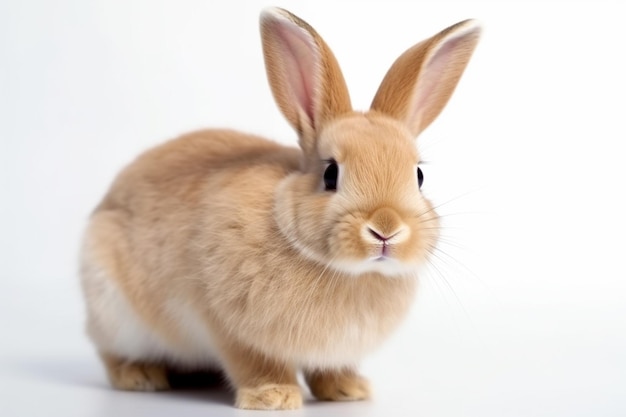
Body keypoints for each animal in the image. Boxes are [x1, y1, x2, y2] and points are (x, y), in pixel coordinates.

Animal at [78, 6, 478, 410]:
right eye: (330, 173)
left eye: (419, 176)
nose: (386, 229)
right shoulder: (227, 326)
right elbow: (254, 362)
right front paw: (272, 396)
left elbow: (330, 370)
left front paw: (349, 390)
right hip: (113, 308)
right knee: (112, 354)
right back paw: (140, 376)